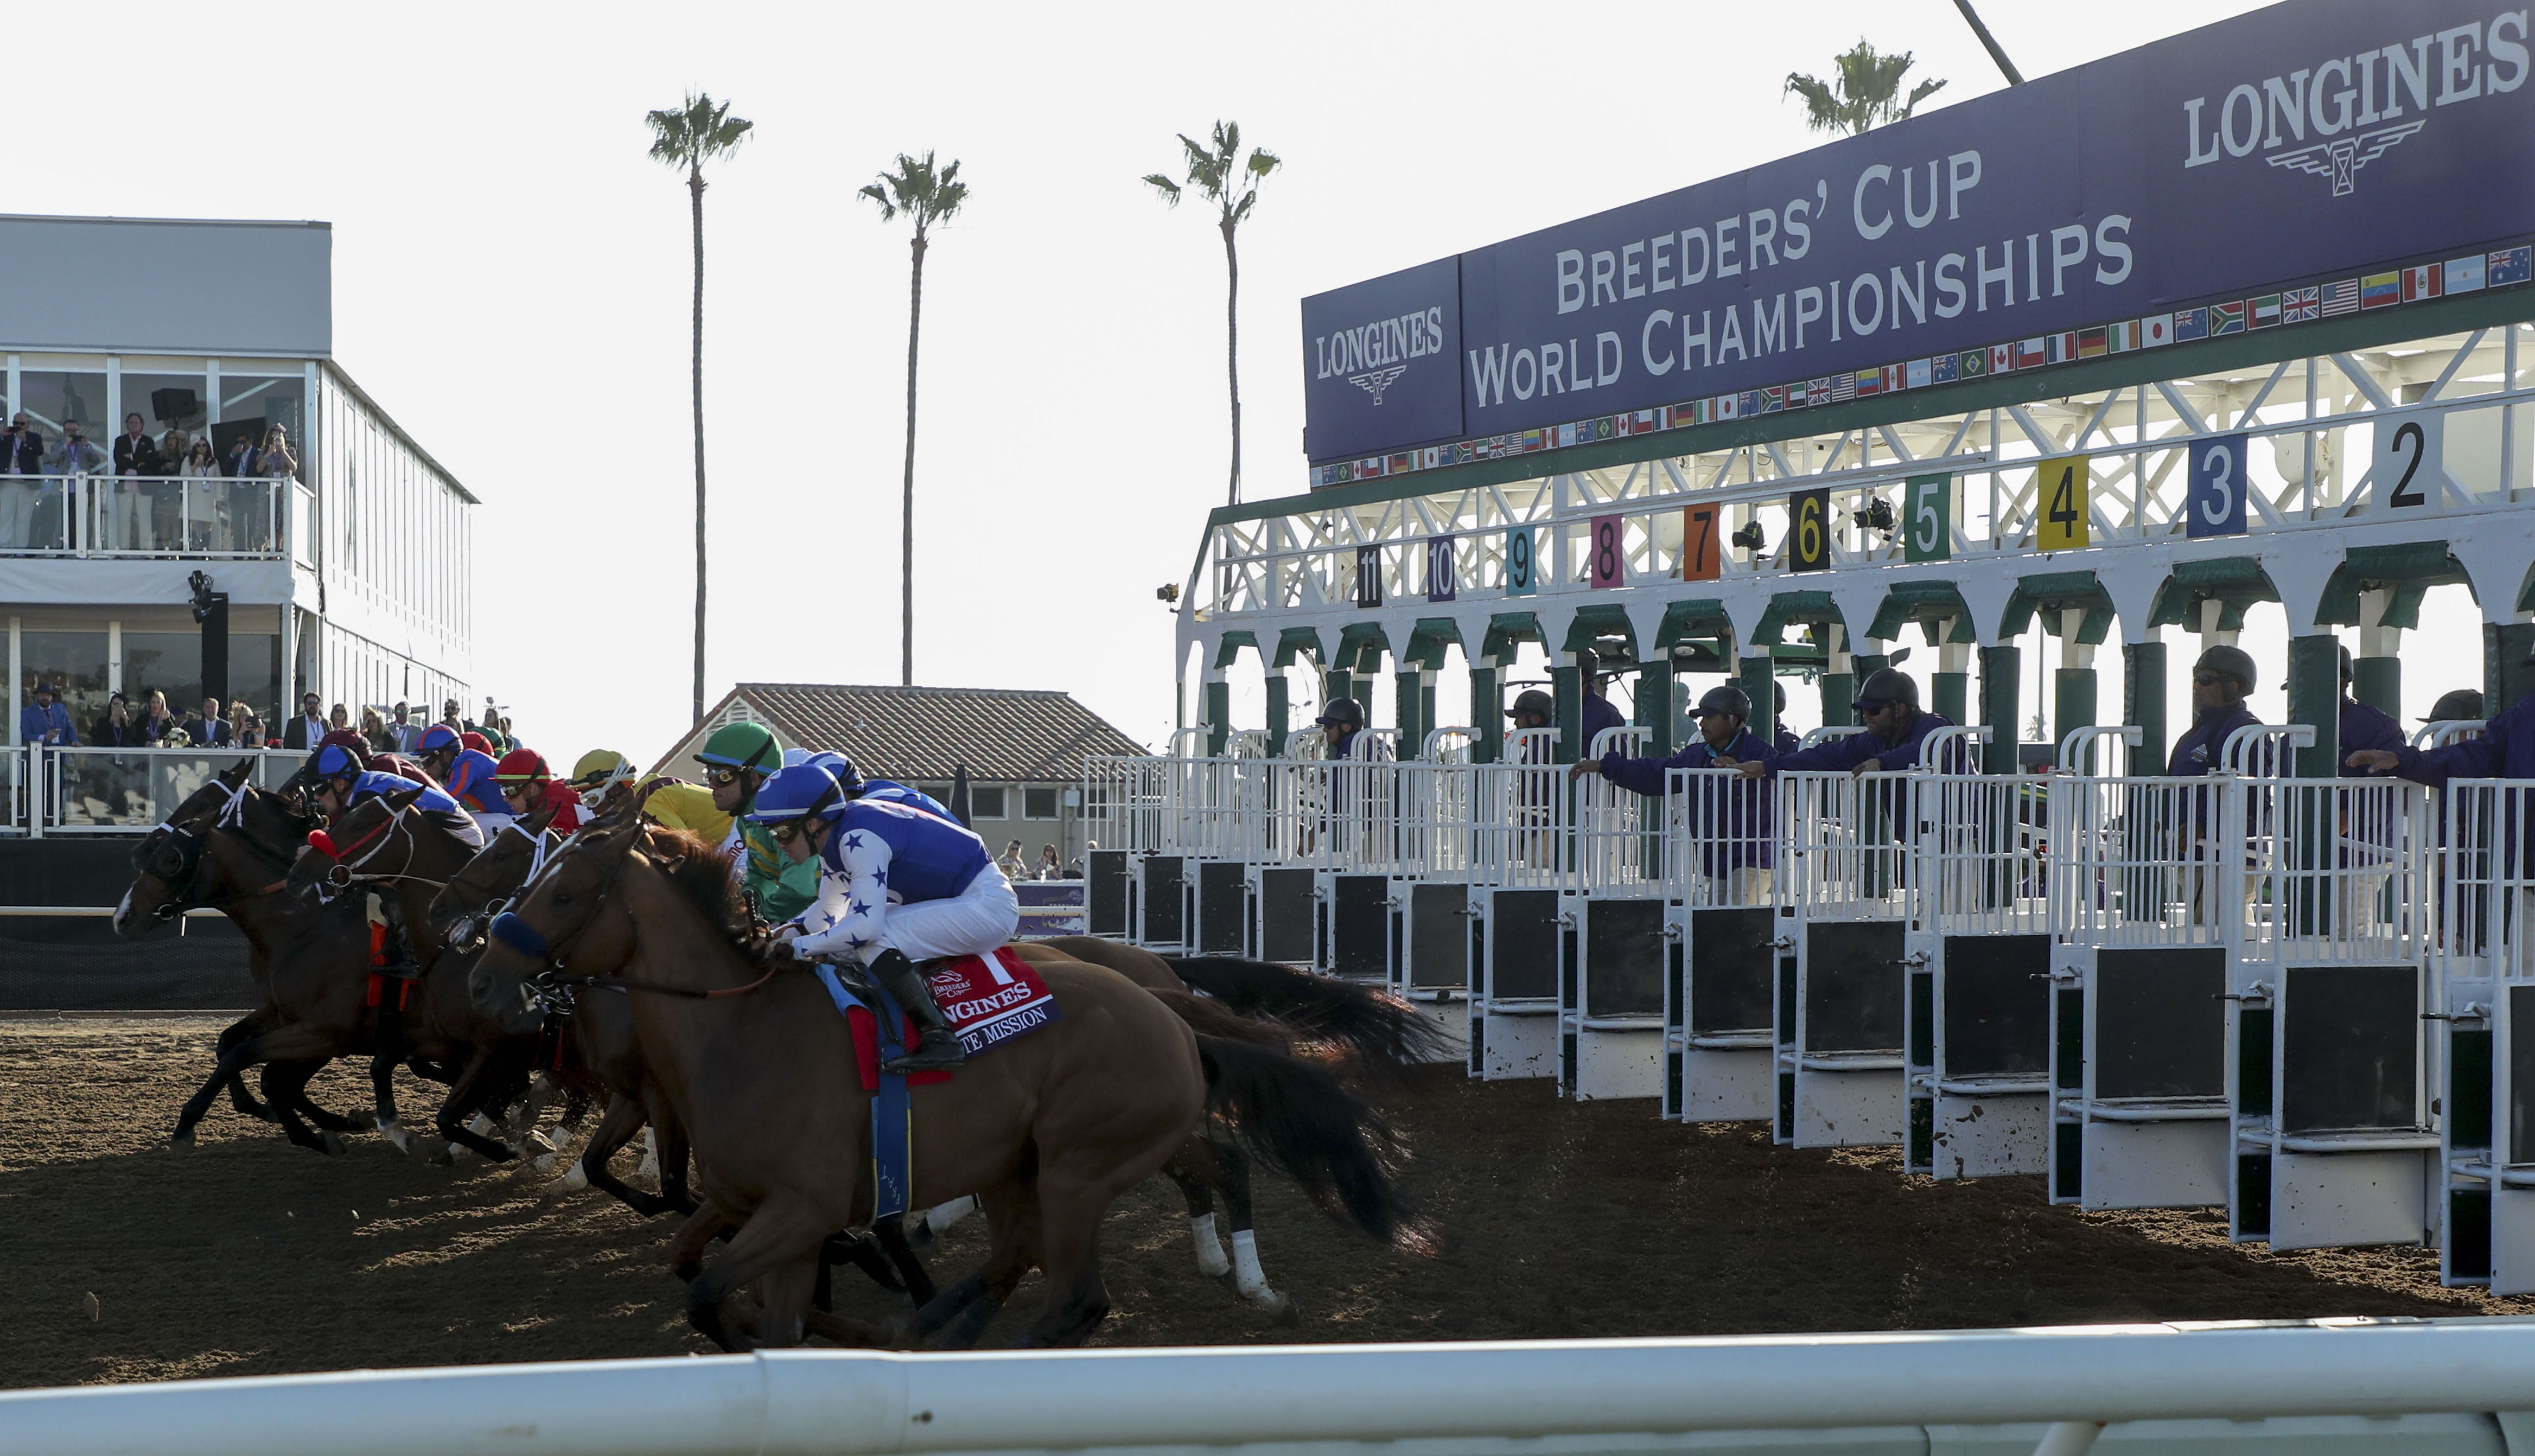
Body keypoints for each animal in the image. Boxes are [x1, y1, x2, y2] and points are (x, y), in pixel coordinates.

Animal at [466, 827, 1419, 1349]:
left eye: (567, 892)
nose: (484, 975)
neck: (743, 1032)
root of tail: (1175, 1018)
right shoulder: (765, 1213)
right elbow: (727, 1292)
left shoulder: (800, 1211)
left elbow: (710, 1294)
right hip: (1015, 1166)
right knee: (1024, 1255)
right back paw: (934, 1329)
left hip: (1078, 1165)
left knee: (1080, 1292)